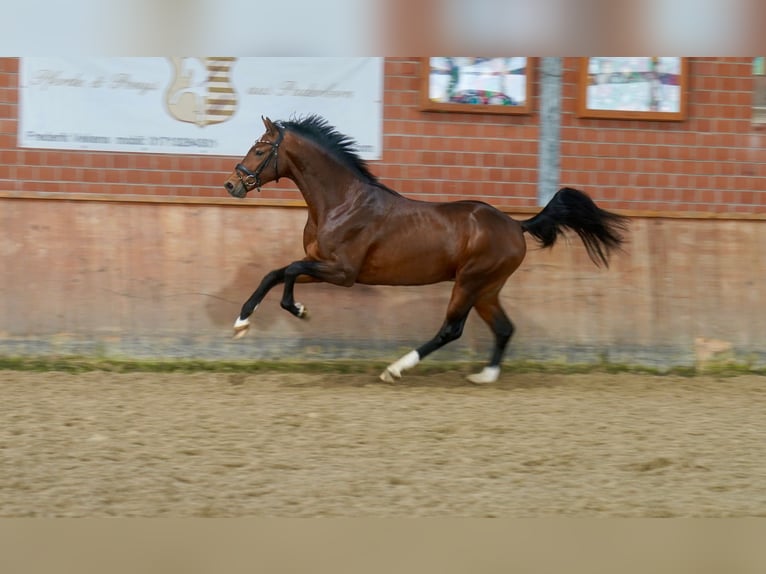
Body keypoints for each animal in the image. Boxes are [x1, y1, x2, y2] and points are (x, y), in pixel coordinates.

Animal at [224, 116, 632, 388]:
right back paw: (485, 375)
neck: (342, 202)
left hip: (469, 282)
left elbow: (289, 271)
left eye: (259, 149)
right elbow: (275, 273)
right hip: (487, 288)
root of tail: (516, 226)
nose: (232, 184)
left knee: (451, 329)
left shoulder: (342, 272)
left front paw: (298, 310)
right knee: (504, 328)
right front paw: (242, 323)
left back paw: (396, 369)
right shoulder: (323, 265)